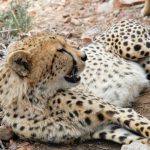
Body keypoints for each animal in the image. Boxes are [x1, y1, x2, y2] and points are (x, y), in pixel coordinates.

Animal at [0, 19, 150, 145]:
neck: (35, 102)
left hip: (134, 48)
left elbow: (144, 126)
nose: (84, 56)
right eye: (61, 50)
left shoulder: (118, 111)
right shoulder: (102, 129)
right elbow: (138, 139)